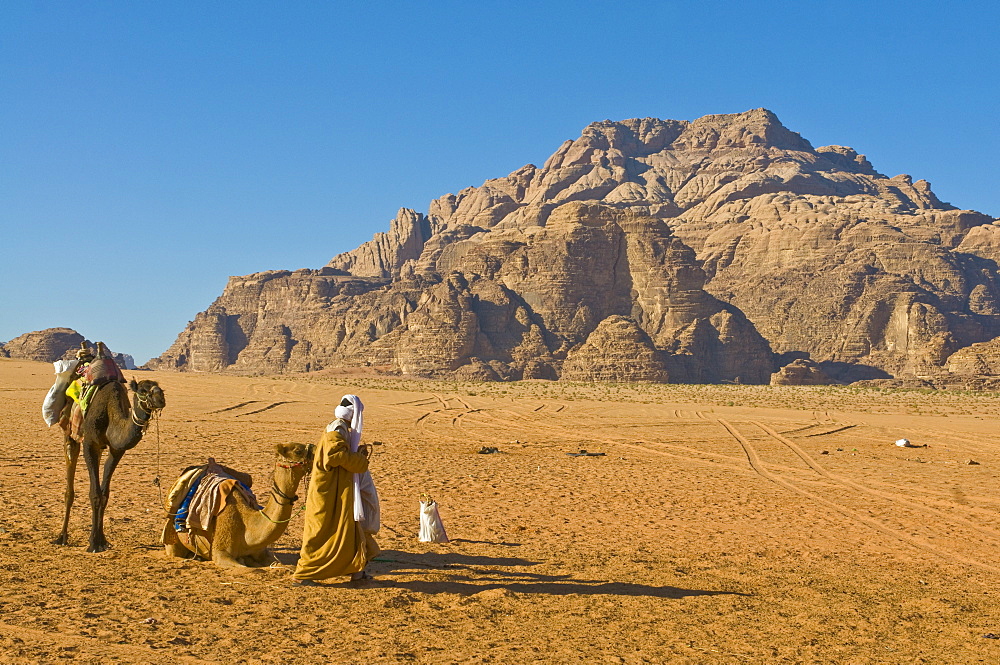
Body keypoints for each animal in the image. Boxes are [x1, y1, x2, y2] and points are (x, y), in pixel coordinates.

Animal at [54, 344, 166, 552]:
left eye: (160, 388)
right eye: (144, 390)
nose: (160, 398)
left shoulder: (116, 450)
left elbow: (104, 494)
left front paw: (102, 540)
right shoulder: (90, 443)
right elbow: (95, 494)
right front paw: (93, 543)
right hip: (70, 433)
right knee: (69, 483)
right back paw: (62, 536)